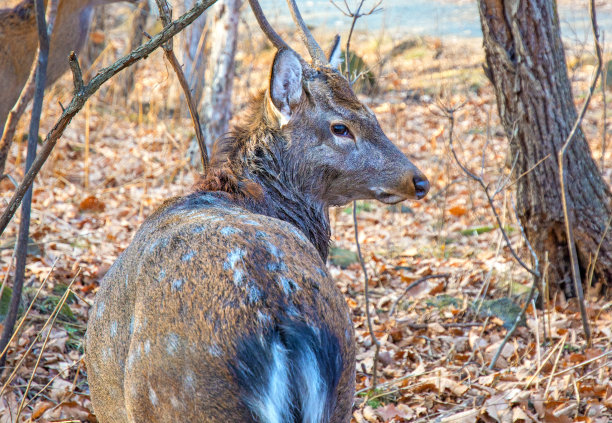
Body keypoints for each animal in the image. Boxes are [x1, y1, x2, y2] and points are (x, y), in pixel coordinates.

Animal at [85, 0, 430, 422]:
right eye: (341, 127)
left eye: (372, 117)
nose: (418, 180)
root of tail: (284, 328)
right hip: (342, 390)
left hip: (177, 397)